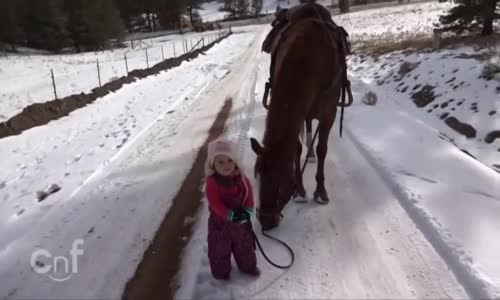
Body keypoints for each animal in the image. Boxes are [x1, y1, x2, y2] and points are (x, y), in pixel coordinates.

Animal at [249, 3, 348, 229]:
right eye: (257, 177)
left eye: (280, 183)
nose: (266, 221)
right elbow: (295, 149)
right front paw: (301, 191)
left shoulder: (329, 114)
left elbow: (322, 149)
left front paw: (320, 191)